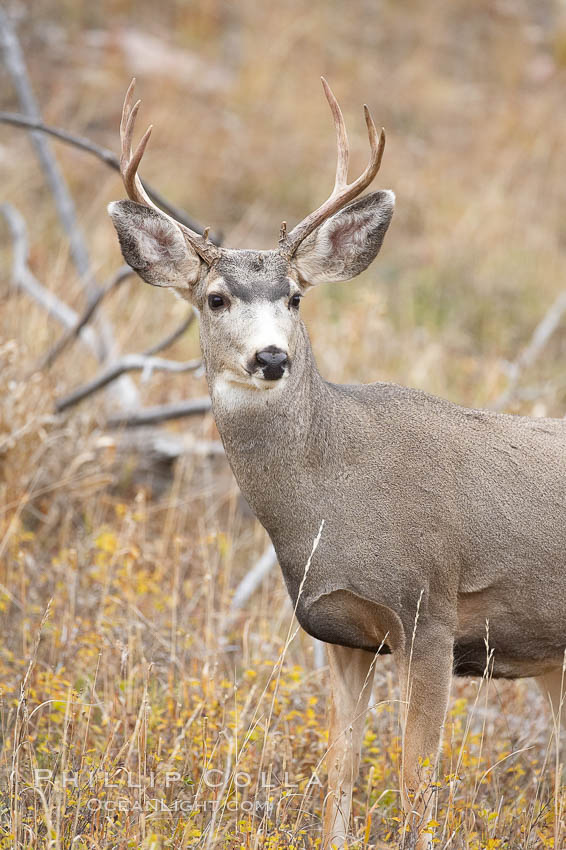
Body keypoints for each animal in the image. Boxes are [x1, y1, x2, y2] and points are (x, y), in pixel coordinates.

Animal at [108, 78, 566, 840]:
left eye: (294, 297)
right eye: (216, 298)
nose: (271, 357)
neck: (332, 498)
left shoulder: (429, 611)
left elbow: (415, 780)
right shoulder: (342, 633)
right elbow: (340, 770)